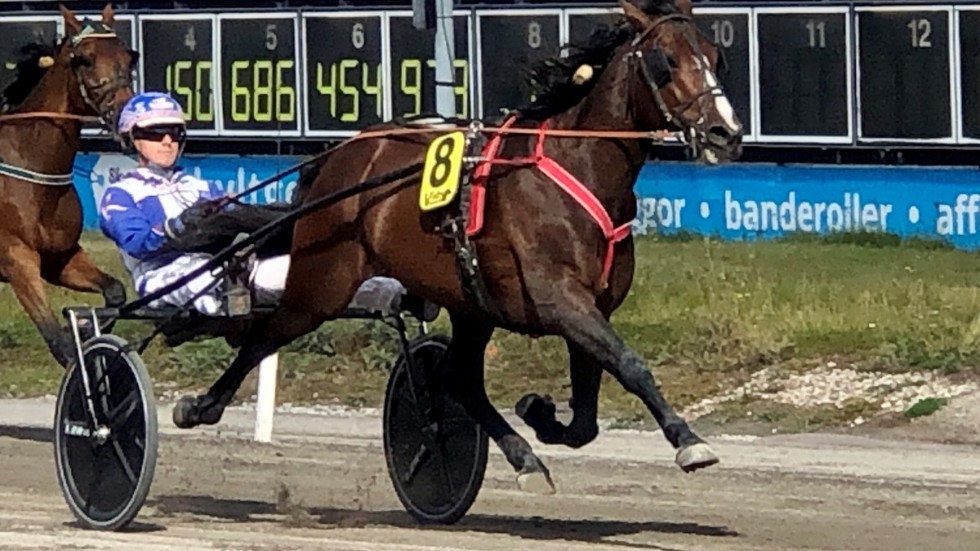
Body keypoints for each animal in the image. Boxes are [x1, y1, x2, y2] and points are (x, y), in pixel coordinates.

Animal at [0, 5, 136, 370]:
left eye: (129, 56)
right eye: (84, 60)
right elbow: (59, 342)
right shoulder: (16, 258)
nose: (126, 116)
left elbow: (115, 291)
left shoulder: (59, 257)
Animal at [176, 0, 744, 488]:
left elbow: (586, 417)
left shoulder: (591, 305)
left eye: (716, 56)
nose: (726, 132)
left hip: (470, 304)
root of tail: (341, 155)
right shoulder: (560, 299)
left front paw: (540, 412)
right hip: (323, 283)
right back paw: (201, 406)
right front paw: (689, 441)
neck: (579, 167)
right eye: (667, 60)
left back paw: (523, 457)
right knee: (265, 335)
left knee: (459, 378)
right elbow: (630, 364)